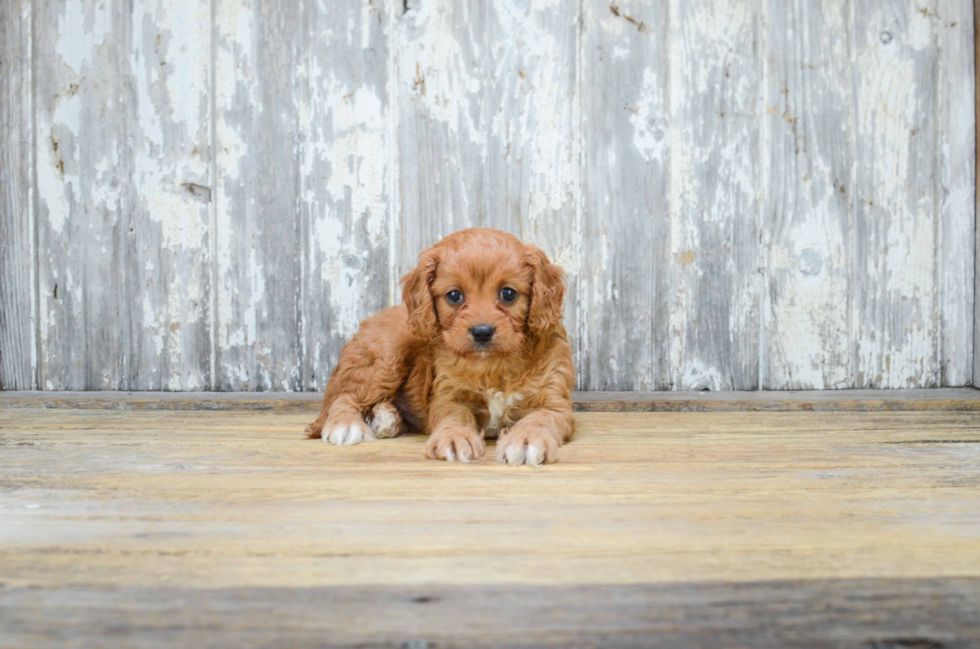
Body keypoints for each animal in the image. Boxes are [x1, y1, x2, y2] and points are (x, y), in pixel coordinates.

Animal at [306, 228, 576, 466]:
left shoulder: (554, 402)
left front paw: (528, 440)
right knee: (344, 396)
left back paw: (385, 418)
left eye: (508, 293)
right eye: (454, 296)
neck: (492, 365)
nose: (482, 331)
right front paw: (455, 437)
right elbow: (455, 416)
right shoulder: (447, 396)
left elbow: (540, 418)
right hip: (386, 359)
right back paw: (346, 424)